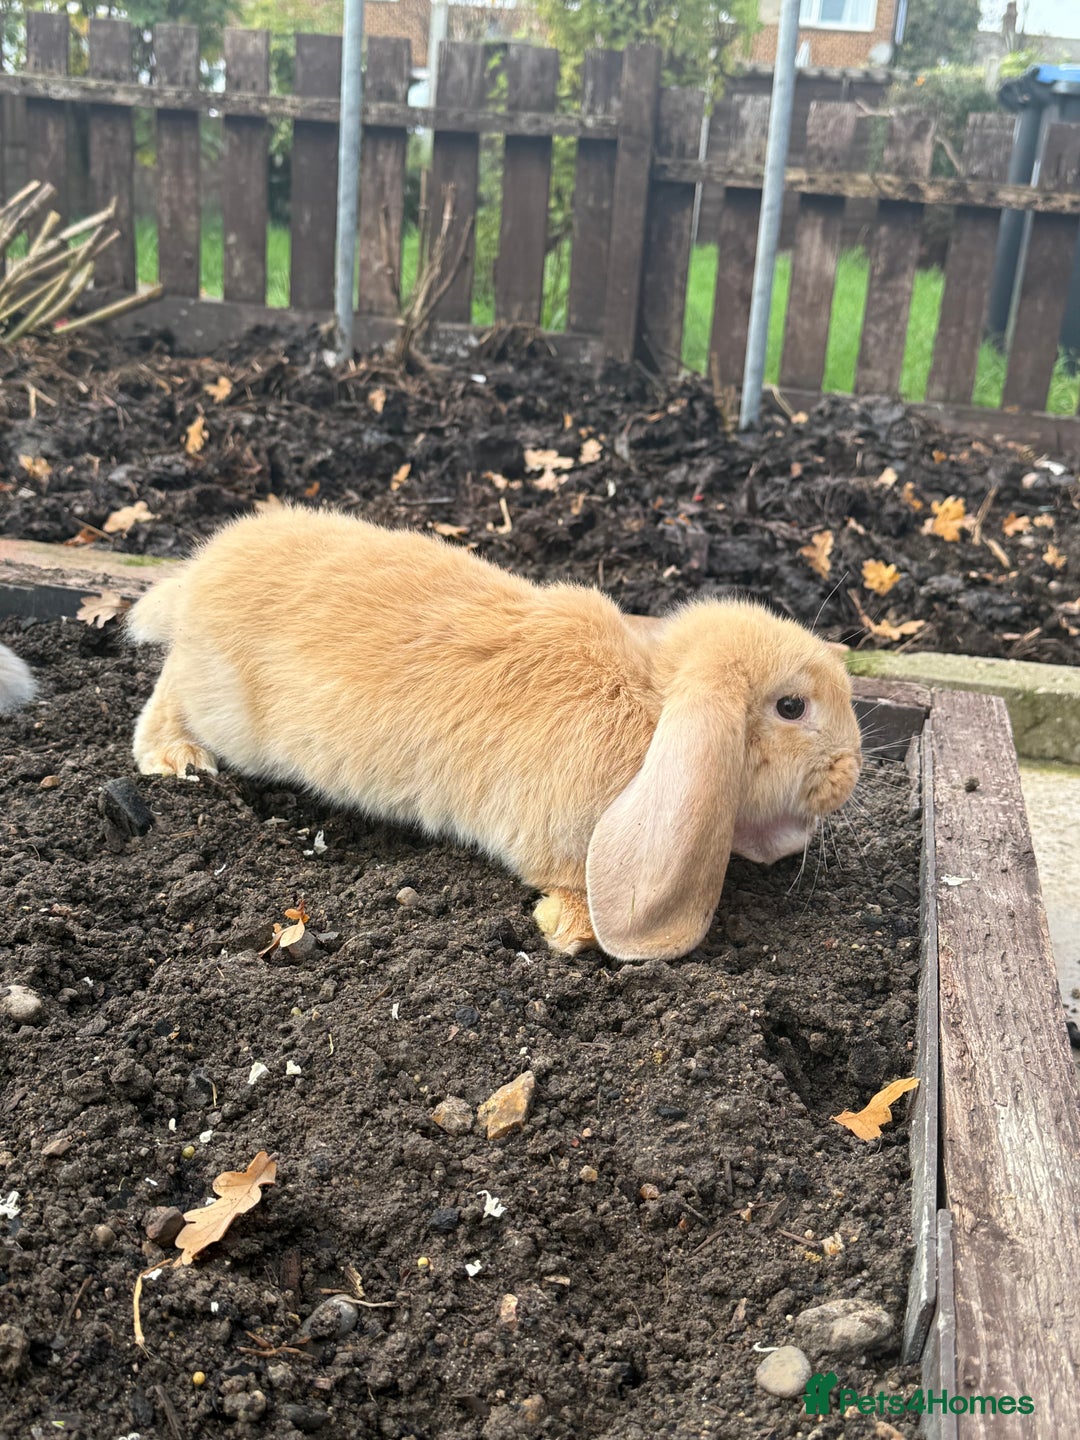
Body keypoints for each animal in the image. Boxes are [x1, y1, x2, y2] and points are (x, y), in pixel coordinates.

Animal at [128, 506, 862, 962]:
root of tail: (198, 575)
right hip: (223, 710)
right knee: (167, 692)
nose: (852, 771)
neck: (654, 712)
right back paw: (175, 759)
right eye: (791, 706)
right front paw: (568, 930)